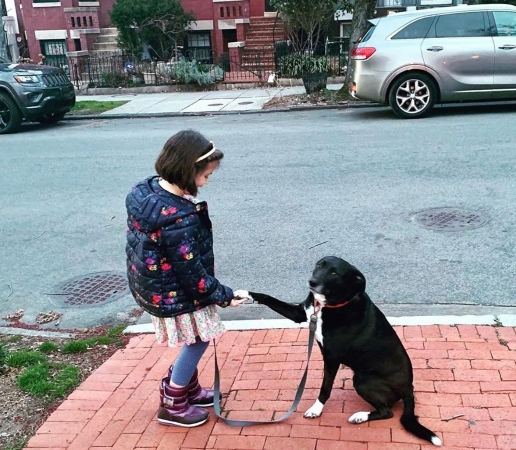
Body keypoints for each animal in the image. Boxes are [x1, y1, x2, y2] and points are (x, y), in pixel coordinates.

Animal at [242, 256, 440, 446]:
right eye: (319, 265)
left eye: (335, 273)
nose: (312, 282)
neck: (328, 305)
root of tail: (409, 389)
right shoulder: (300, 313)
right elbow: (269, 298)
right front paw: (244, 294)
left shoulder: (331, 358)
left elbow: (325, 387)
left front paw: (316, 409)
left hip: (362, 379)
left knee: (387, 412)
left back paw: (360, 416)